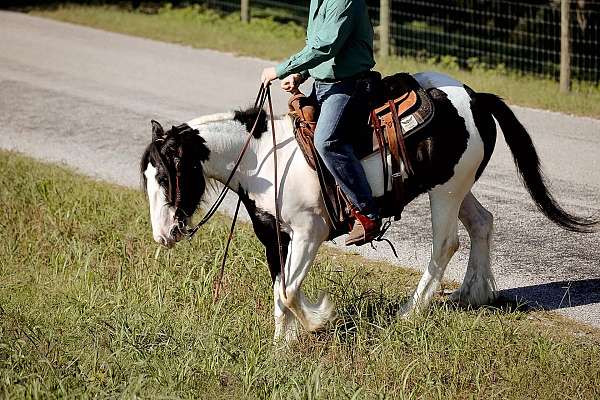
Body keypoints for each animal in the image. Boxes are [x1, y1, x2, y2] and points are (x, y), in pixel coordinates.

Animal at [139, 72, 596, 344]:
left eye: (164, 176)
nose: (164, 235)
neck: (262, 158)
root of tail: (476, 99)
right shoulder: (275, 238)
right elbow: (280, 290)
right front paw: (283, 344)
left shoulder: (309, 233)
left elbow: (289, 290)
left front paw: (317, 320)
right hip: (458, 185)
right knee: (483, 223)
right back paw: (473, 294)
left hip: (446, 191)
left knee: (445, 245)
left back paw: (410, 312)